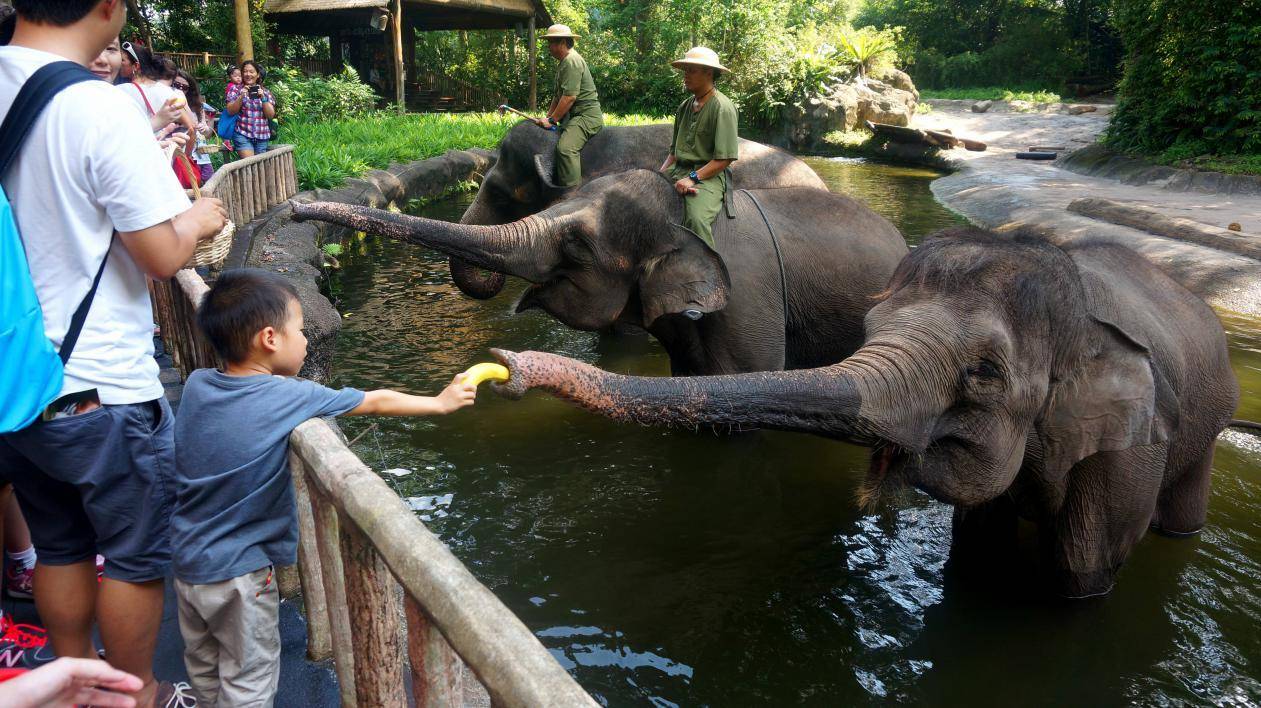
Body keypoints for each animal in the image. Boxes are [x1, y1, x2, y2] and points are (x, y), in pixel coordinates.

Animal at [487, 227, 1241, 597]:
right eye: (870, 326)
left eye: (984, 372)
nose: (510, 365)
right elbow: (976, 549)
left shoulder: (1129, 449)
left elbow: (1085, 565)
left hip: (1205, 426)